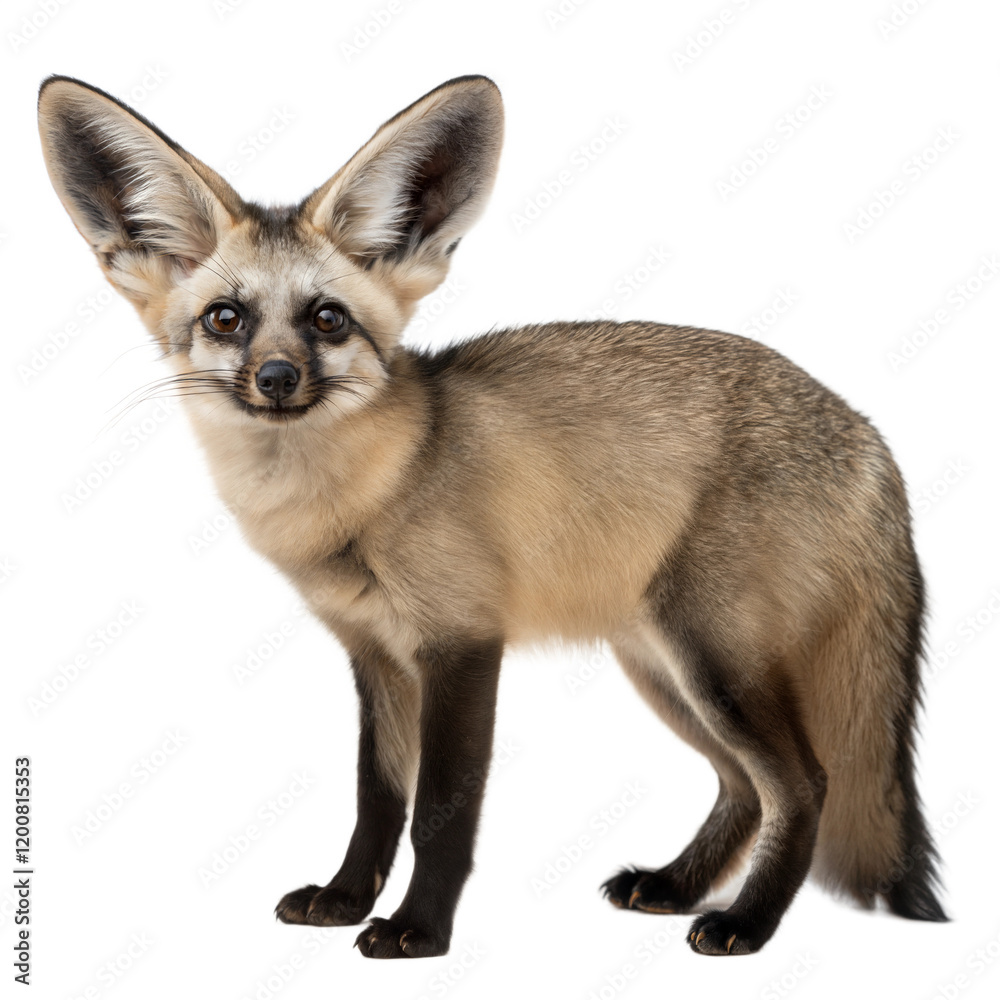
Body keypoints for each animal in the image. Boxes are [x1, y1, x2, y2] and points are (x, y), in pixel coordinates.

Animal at [37, 73, 946, 958]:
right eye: (226, 319)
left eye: (327, 319)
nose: (276, 379)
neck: (368, 495)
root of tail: (870, 435)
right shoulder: (375, 655)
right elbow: (377, 800)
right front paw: (344, 899)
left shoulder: (463, 643)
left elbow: (442, 813)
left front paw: (417, 930)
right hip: (664, 667)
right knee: (744, 787)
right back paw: (678, 885)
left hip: (714, 661)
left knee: (807, 783)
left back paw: (745, 924)